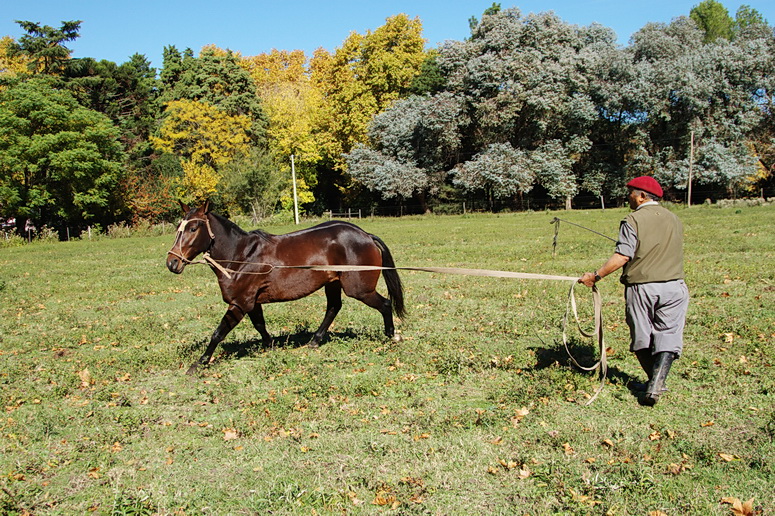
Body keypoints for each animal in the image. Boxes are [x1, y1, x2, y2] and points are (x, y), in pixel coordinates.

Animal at [166, 201, 406, 374]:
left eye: (193, 228)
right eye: (178, 228)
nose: (172, 263)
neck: (241, 256)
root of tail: (366, 235)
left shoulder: (240, 304)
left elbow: (218, 333)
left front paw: (199, 363)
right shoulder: (252, 303)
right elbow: (260, 325)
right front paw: (271, 346)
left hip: (359, 289)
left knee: (385, 304)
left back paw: (391, 335)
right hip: (333, 283)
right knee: (333, 308)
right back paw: (314, 341)